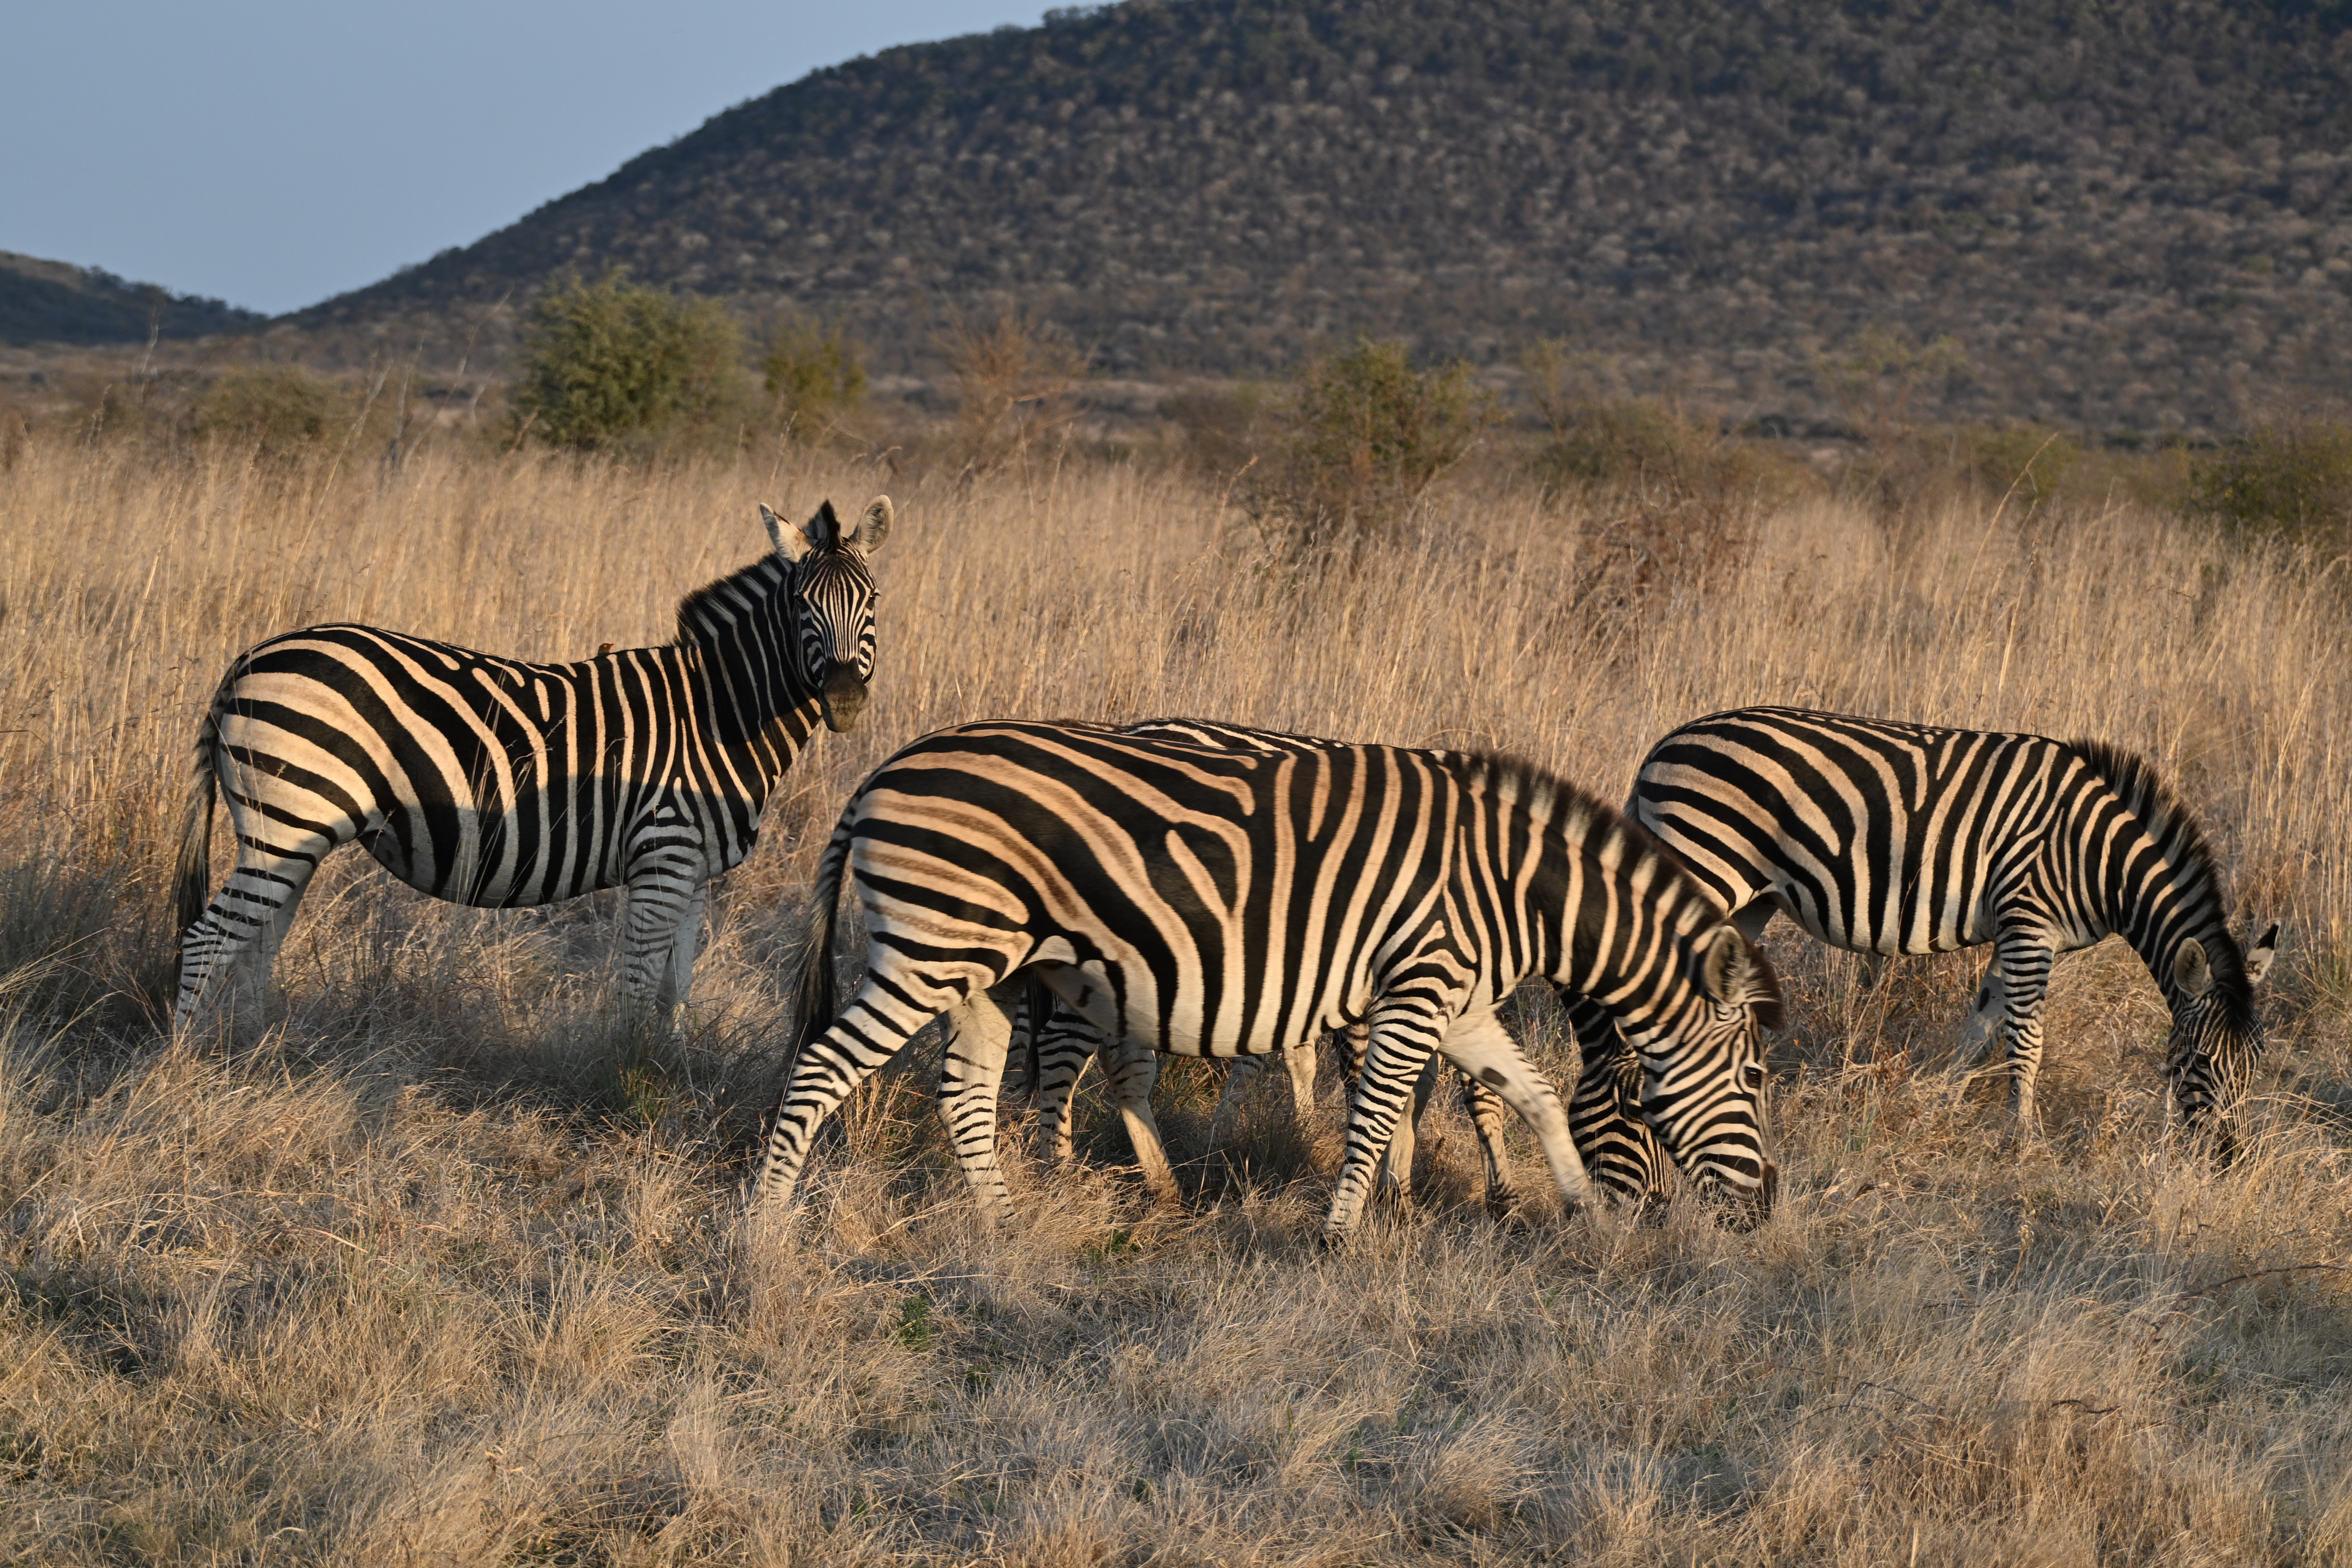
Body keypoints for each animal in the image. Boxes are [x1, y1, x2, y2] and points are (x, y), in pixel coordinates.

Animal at [173, 496, 891, 1034]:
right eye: (801, 606)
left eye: (874, 600)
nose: (844, 701)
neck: (718, 712)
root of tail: (248, 660)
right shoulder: (661, 858)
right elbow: (637, 990)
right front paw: (621, 1084)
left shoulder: (693, 871)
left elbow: (675, 992)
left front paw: (665, 1076)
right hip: (285, 822)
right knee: (208, 937)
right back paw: (185, 1066)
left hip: (298, 832)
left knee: (257, 939)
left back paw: (256, 1052)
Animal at [752, 720, 1786, 1245]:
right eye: (1754, 1080)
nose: (1766, 1209)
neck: (1511, 885)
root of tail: (882, 772)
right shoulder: (1418, 985)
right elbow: (1377, 1114)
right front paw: (1339, 1233)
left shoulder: (1457, 999)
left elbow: (1528, 1092)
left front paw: (1582, 1210)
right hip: (931, 951)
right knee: (824, 1067)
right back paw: (763, 1227)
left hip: (986, 970)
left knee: (963, 1092)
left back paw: (1006, 1223)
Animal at [1566, 705, 2278, 1200]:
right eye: (2200, 1062)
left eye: (2255, 1068)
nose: (2229, 1161)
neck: (2099, 858)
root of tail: (1664, 747)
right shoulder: (2030, 920)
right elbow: (2026, 1039)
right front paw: (2026, 1145)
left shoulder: (2015, 933)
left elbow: (1982, 1025)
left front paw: (1941, 1103)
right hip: (1703, 861)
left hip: (1748, 899)